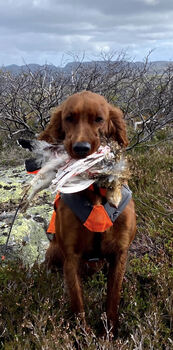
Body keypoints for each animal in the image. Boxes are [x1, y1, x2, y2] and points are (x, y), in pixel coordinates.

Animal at [37, 90, 137, 334]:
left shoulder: (120, 253)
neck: (95, 193)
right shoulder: (71, 257)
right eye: (69, 118)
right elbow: (77, 303)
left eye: (99, 119)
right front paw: (83, 335)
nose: (81, 149)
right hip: (53, 252)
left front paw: (110, 333)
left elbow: (112, 298)